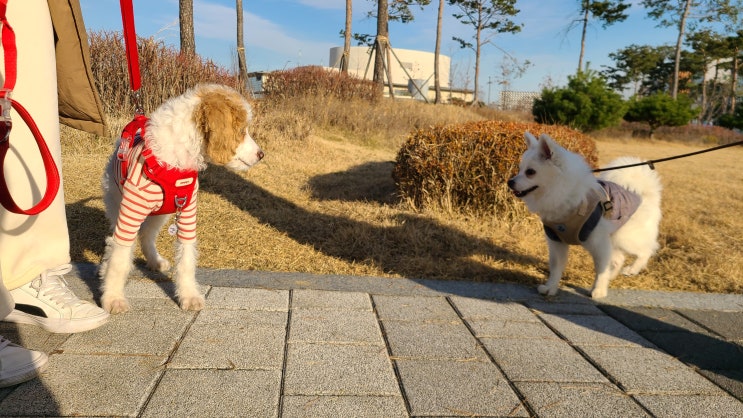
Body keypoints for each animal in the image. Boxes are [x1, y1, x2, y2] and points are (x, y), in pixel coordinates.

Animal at [100, 84, 264, 314]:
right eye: (241, 131)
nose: (261, 154)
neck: (177, 160)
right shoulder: (131, 212)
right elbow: (119, 257)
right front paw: (113, 298)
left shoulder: (187, 212)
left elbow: (186, 258)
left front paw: (189, 296)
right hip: (118, 204)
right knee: (116, 242)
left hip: (160, 214)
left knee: (146, 235)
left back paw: (155, 261)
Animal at [506, 132, 664, 298]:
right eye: (519, 169)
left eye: (530, 172)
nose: (510, 182)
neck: (562, 192)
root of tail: (644, 194)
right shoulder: (557, 241)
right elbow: (556, 268)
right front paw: (551, 287)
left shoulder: (598, 242)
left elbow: (600, 269)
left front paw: (598, 290)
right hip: (613, 239)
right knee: (619, 259)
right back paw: (613, 276)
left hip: (625, 238)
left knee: (646, 250)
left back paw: (631, 269)